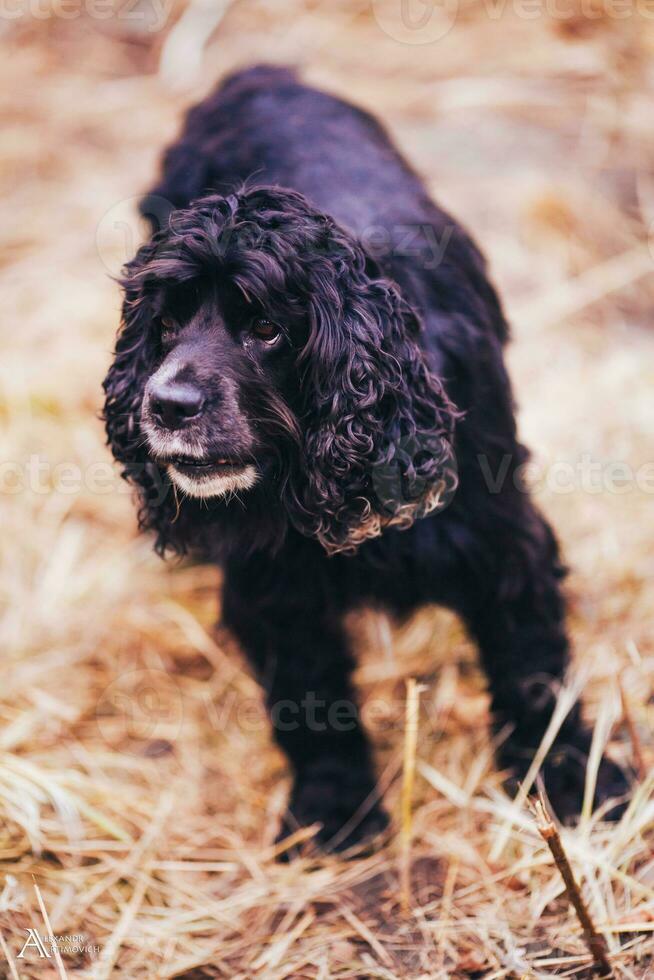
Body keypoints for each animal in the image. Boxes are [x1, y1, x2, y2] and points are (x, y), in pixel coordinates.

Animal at [104, 67, 632, 848]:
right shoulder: (276, 581)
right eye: (164, 323)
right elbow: (309, 695)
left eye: (266, 328)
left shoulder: (503, 544)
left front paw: (572, 785)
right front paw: (334, 808)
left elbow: (530, 670)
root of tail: (258, 72)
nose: (165, 405)